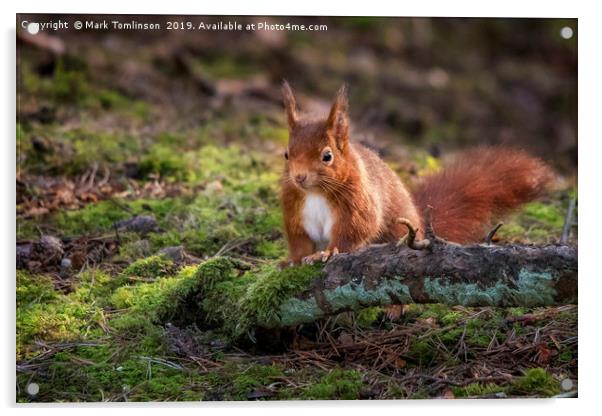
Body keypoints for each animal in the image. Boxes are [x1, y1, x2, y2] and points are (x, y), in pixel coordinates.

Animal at [278, 80, 552, 266]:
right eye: (287, 154)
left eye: (327, 156)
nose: (299, 177)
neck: (315, 192)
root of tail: (419, 221)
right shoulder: (295, 211)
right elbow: (299, 240)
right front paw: (293, 260)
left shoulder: (358, 203)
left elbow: (356, 230)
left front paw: (327, 252)